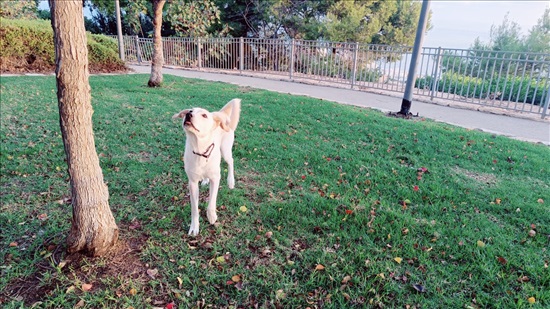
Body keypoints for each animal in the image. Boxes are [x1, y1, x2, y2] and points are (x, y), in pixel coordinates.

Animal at [172, 98, 242, 236]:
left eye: (204, 115)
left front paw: (211, 216)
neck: (200, 149)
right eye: (190, 111)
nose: (188, 114)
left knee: (231, 161)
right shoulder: (192, 183)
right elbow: (194, 209)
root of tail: (220, 114)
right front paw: (194, 227)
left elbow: (212, 201)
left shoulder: (216, 178)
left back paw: (231, 181)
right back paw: (205, 180)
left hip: (225, 150)